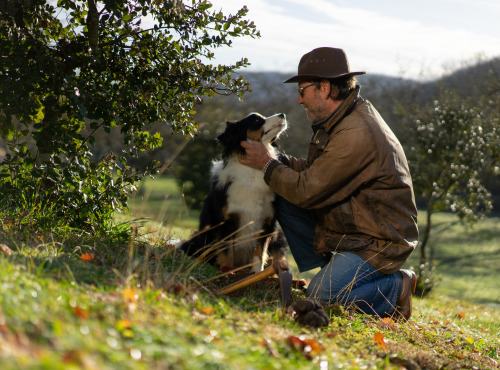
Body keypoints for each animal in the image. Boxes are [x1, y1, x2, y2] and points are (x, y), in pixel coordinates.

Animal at [180, 114, 290, 274]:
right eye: (257, 120)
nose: (283, 115)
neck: (252, 172)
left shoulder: (268, 221)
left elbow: (260, 251)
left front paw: (257, 273)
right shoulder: (227, 219)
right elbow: (227, 251)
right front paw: (227, 271)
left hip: (279, 237)